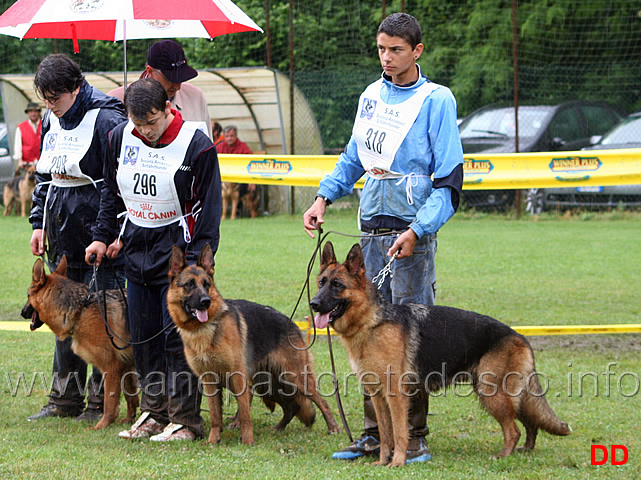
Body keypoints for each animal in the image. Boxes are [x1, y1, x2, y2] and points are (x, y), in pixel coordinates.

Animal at [22, 256, 138, 430]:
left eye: (28, 295)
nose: (22, 313)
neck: (80, 310)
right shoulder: (127, 366)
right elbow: (131, 397)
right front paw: (130, 420)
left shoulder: (112, 368)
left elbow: (109, 403)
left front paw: (101, 426)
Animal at [166, 246, 340, 444]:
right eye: (189, 284)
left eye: (206, 284)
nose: (205, 301)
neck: (205, 328)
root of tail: (292, 324)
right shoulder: (210, 381)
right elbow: (215, 415)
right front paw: (213, 440)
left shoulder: (237, 376)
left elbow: (245, 414)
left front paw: (247, 441)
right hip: (270, 383)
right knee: (291, 406)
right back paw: (279, 428)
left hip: (295, 378)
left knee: (322, 401)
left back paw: (333, 427)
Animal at [310, 242, 568, 466]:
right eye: (321, 283)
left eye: (337, 285)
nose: (313, 304)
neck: (371, 322)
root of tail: (519, 336)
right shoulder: (377, 395)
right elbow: (384, 434)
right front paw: (382, 462)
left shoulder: (396, 396)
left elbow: (400, 433)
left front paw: (397, 463)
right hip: (506, 394)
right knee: (530, 421)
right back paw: (527, 448)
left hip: (493, 394)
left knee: (513, 429)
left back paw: (504, 455)